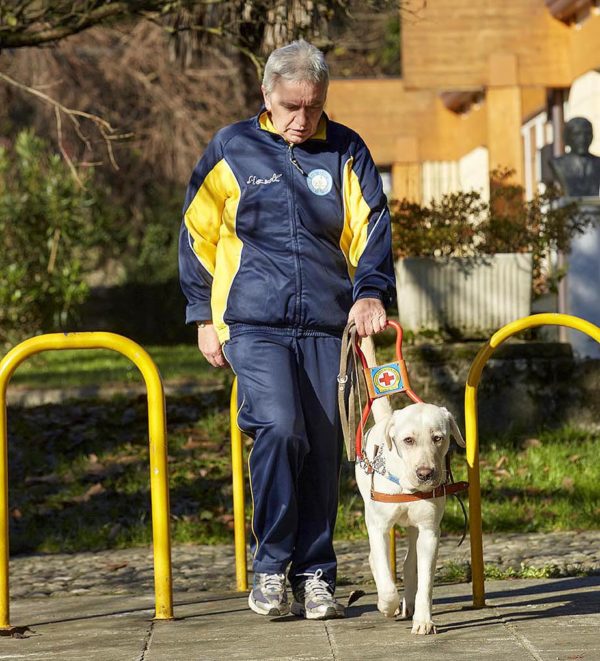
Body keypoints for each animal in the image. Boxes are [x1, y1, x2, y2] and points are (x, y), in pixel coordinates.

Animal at [354, 338, 466, 632]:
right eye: (408, 440)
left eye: (438, 438)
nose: (426, 473)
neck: (406, 488)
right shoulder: (379, 527)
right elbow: (385, 579)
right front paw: (386, 605)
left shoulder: (429, 532)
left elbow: (425, 581)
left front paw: (424, 620)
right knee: (377, 561)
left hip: (416, 529)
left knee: (408, 565)